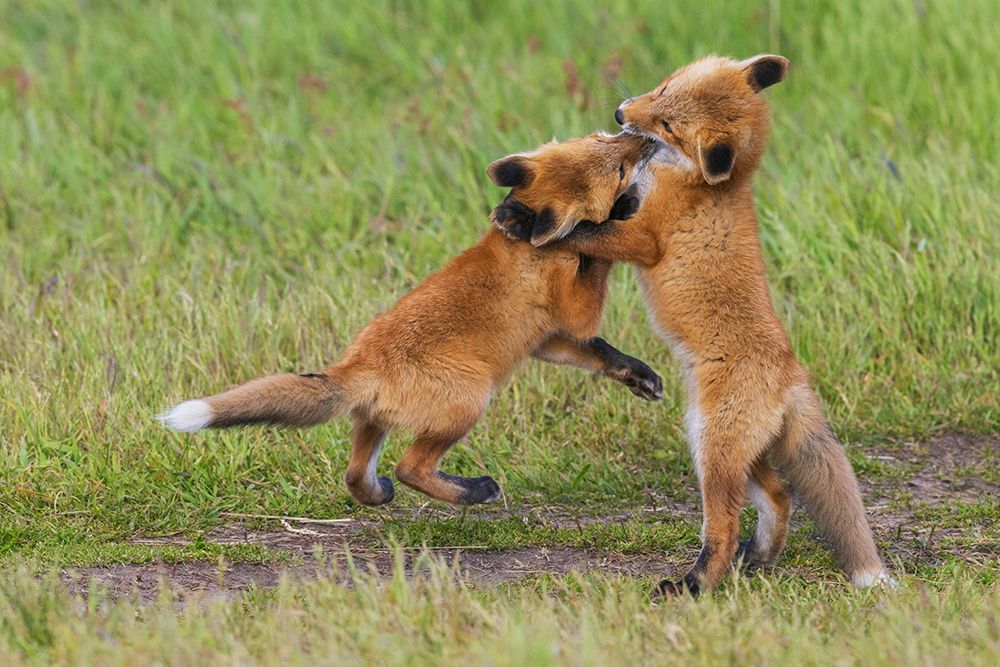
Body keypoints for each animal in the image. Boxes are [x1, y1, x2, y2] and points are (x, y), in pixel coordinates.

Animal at [158, 132, 664, 508]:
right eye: (619, 169)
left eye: (602, 138)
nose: (642, 138)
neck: (527, 251)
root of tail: (355, 367)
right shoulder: (574, 312)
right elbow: (595, 271)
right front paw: (615, 216)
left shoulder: (546, 339)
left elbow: (602, 354)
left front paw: (640, 377)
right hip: (468, 403)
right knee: (410, 468)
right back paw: (473, 492)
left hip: (373, 421)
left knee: (355, 475)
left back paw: (378, 494)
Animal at [491, 55, 893, 595]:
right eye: (664, 89)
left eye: (667, 126)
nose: (620, 114)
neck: (696, 180)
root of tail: (791, 374)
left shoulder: (644, 236)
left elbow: (586, 231)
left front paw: (522, 218)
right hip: (735, 454)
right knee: (780, 495)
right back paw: (757, 558)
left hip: (710, 449)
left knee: (724, 529)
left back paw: (695, 583)